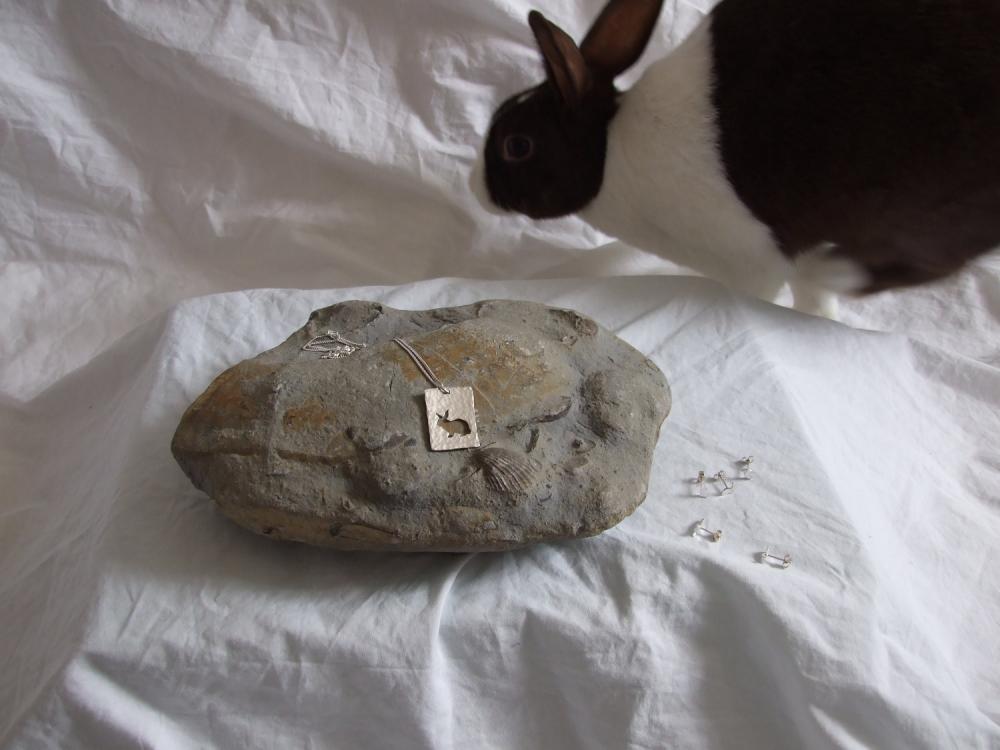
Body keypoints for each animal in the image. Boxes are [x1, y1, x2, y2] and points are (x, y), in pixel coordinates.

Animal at [469, 0, 1000, 319]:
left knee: (919, 261)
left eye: (517, 145)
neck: (610, 151)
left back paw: (829, 270)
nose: (474, 186)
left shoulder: (750, 261)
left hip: (922, 205)